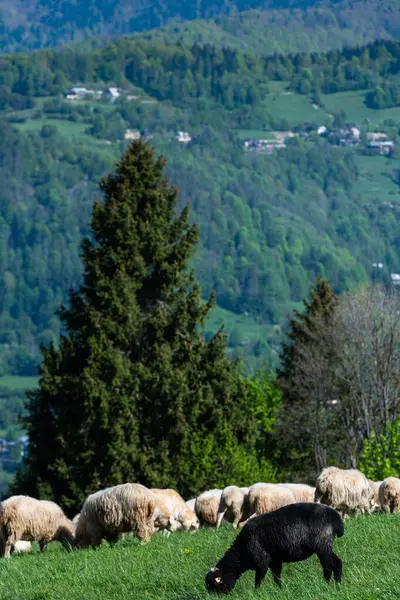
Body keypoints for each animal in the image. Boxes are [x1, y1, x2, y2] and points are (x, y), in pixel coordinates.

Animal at [206, 500, 344, 592]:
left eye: (213, 586)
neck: (241, 554)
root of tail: (335, 517)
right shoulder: (275, 561)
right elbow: (277, 577)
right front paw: (279, 590)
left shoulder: (262, 561)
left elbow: (258, 580)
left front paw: (256, 593)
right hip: (325, 545)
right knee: (337, 562)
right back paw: (338, 584)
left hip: (321, 545)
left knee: (327, 567)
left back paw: (327, 584)